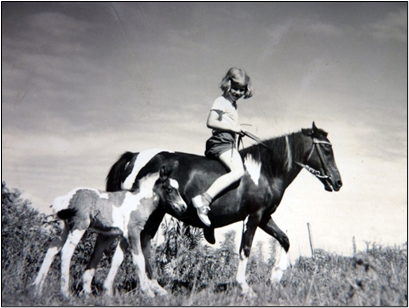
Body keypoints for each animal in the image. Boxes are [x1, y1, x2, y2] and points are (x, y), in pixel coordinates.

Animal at [81, 122, 340, 296]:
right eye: (327, 150)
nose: (338, 182)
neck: (265, 170)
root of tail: (134, 157)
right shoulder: (254, 216)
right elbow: (245, 249)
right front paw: (244, 287)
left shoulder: (265, 216)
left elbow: (285, 240)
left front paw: (275, 277)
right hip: (149, 213)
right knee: (131, 244)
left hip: (154, 213)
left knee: (133, 244)